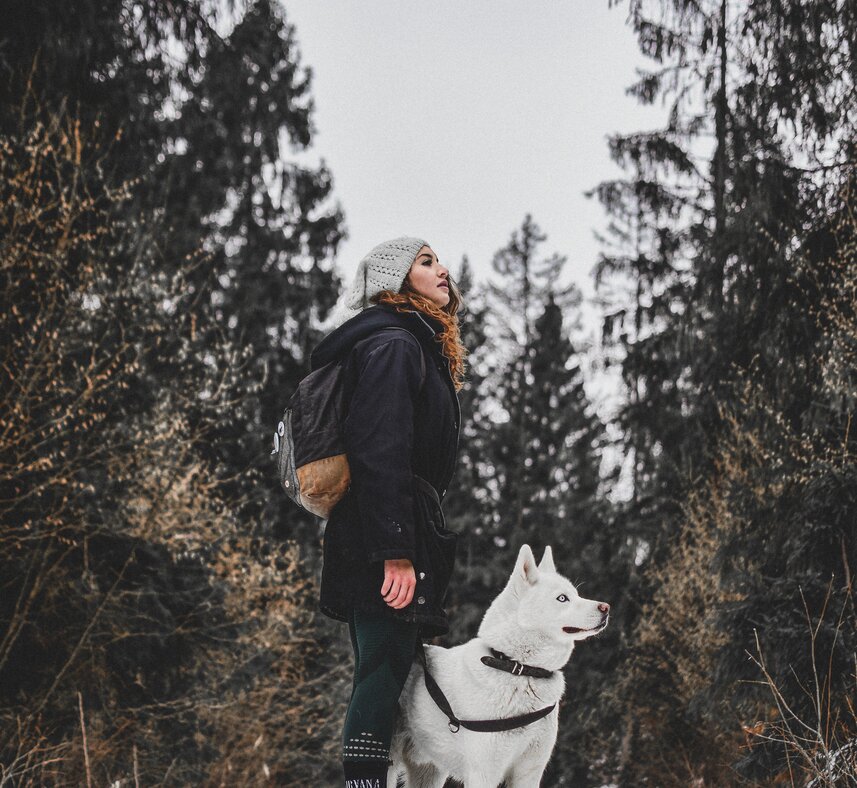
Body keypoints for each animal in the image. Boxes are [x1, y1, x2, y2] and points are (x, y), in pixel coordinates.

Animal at [388, 544, 608, 788]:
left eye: (576, 595)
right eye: (562, 598)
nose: (606, 607)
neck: (518, 668)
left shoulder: (529, 772)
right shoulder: (483, 773)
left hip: (430, 772)